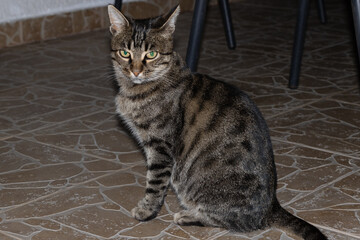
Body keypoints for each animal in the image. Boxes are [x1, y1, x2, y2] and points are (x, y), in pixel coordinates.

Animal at [107, 4, 330, 239]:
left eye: (151, 54)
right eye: (125, 53)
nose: (136, 71)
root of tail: (272, 207)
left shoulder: (160, 147)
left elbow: (155, 183)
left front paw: (147, 210)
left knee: (234, 221)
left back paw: (187, 216)